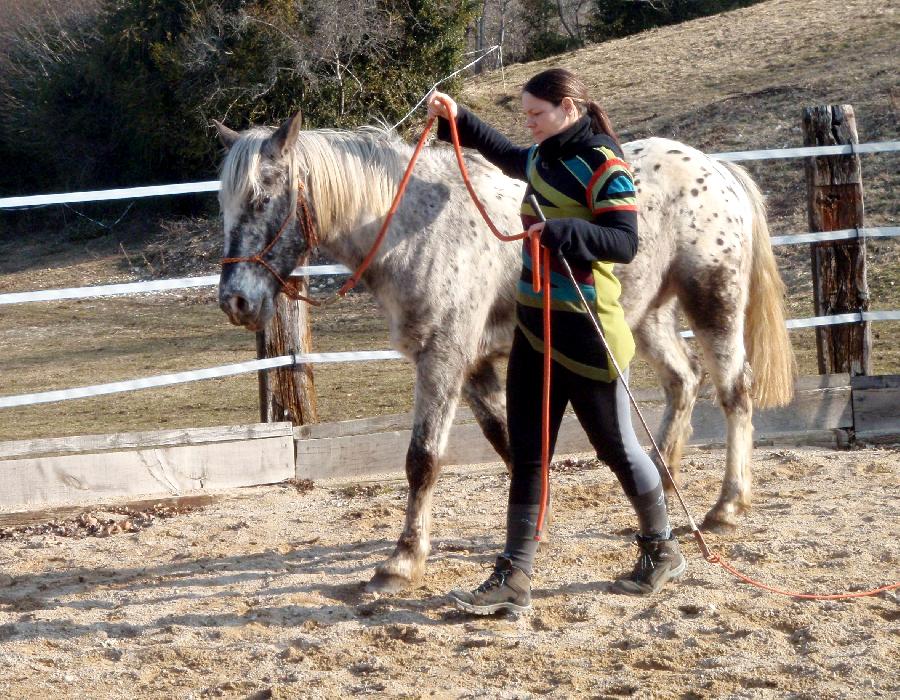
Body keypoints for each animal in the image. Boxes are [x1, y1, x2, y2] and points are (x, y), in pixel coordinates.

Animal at [214, 113, 792, 592]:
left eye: (263, 199)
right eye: (225, 204)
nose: (234, 301)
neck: (416, 228)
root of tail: (715, 168)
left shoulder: (443, 358)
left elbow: (423, 459)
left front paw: (402, 561)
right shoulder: (473, 368)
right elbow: (511, 447)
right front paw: (538, 525)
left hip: (713, 303)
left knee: (734, 392)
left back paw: (726, 507)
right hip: (646, 316)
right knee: (683, 382)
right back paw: (666, 487)